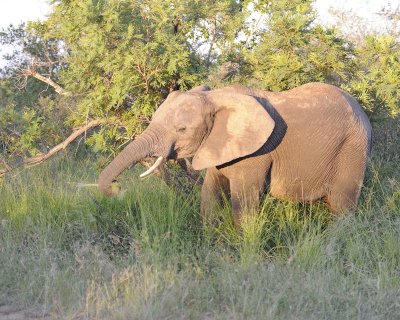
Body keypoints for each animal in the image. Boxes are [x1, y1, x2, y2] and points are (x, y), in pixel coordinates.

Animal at [99, 82, 372, 228]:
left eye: (182, 129)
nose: (116, 187)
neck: (214, 97)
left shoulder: (257, 152)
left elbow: (243, 202)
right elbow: (209, 194)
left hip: (353, 148)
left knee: (342, 206)